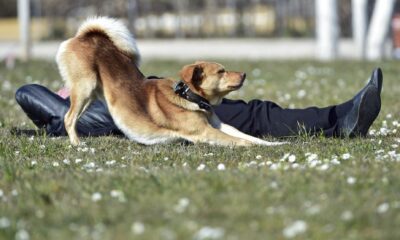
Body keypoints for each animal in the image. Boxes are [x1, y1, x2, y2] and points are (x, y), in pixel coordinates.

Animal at [56, 16, 284, 146]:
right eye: (221, 71)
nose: (245, 74)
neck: (191, 98)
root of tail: (85, 36)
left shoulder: (219, 126)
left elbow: (247, 137)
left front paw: (274, 145)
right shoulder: (204, 132)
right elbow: (240, 141)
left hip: (91, 95)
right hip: (84, 87)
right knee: (68, 118)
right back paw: (77, 144)